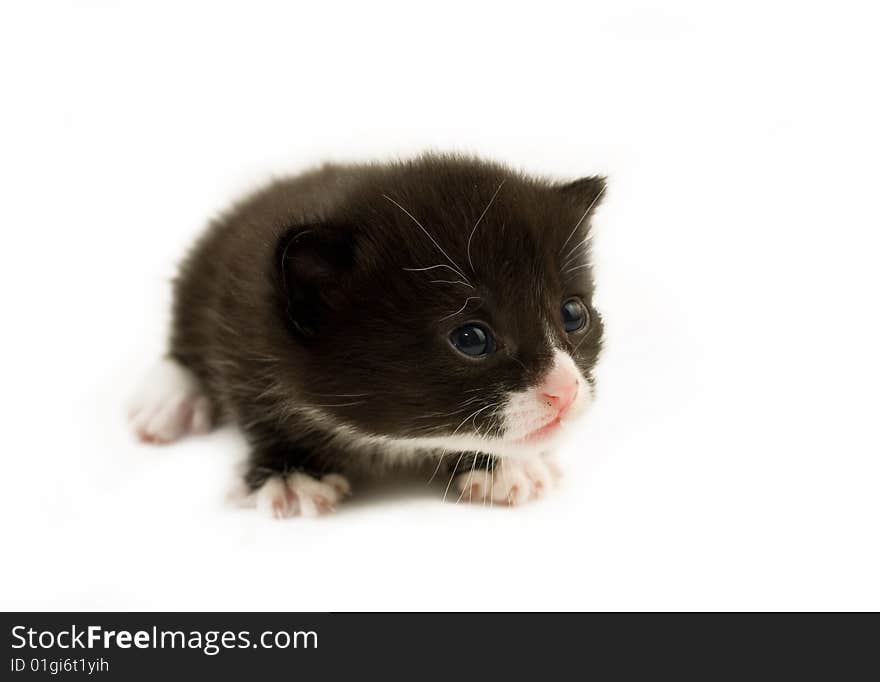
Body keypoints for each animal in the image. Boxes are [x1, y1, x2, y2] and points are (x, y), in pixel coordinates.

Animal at [129, 154, 604, 516]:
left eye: (572, 314)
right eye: (472, 339)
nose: (565, 391)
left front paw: (503, 465)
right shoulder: (242, 331)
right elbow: (258, 412)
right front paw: (292, 476)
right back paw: (170, 399)